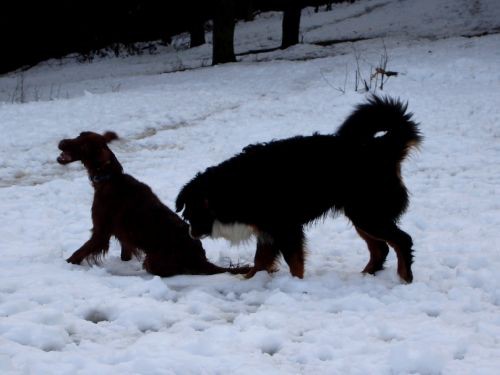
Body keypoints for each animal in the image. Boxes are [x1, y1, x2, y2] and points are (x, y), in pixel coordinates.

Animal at [57, 131, 249, 278]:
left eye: (83, 143)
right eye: (79, 135)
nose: (61, 142)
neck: (110, 179)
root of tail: (200, 259)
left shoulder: (100, 232)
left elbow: (80, 251)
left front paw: (67, 264)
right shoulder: (122, 235)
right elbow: (124, 253)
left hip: (152, 260)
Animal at [176, 95, 422, 284]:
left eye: (191, 214)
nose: (191, 233)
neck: (233, 187)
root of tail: (381, 147)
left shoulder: (285, 227)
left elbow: (293, 261)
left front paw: (296, 283)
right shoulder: (268, 230)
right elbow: (260, 260)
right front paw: (250, 279)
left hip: (368, 213)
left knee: (402, 241)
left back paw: (404, 277)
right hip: (361, 215)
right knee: (380, 249)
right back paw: (366, 274)